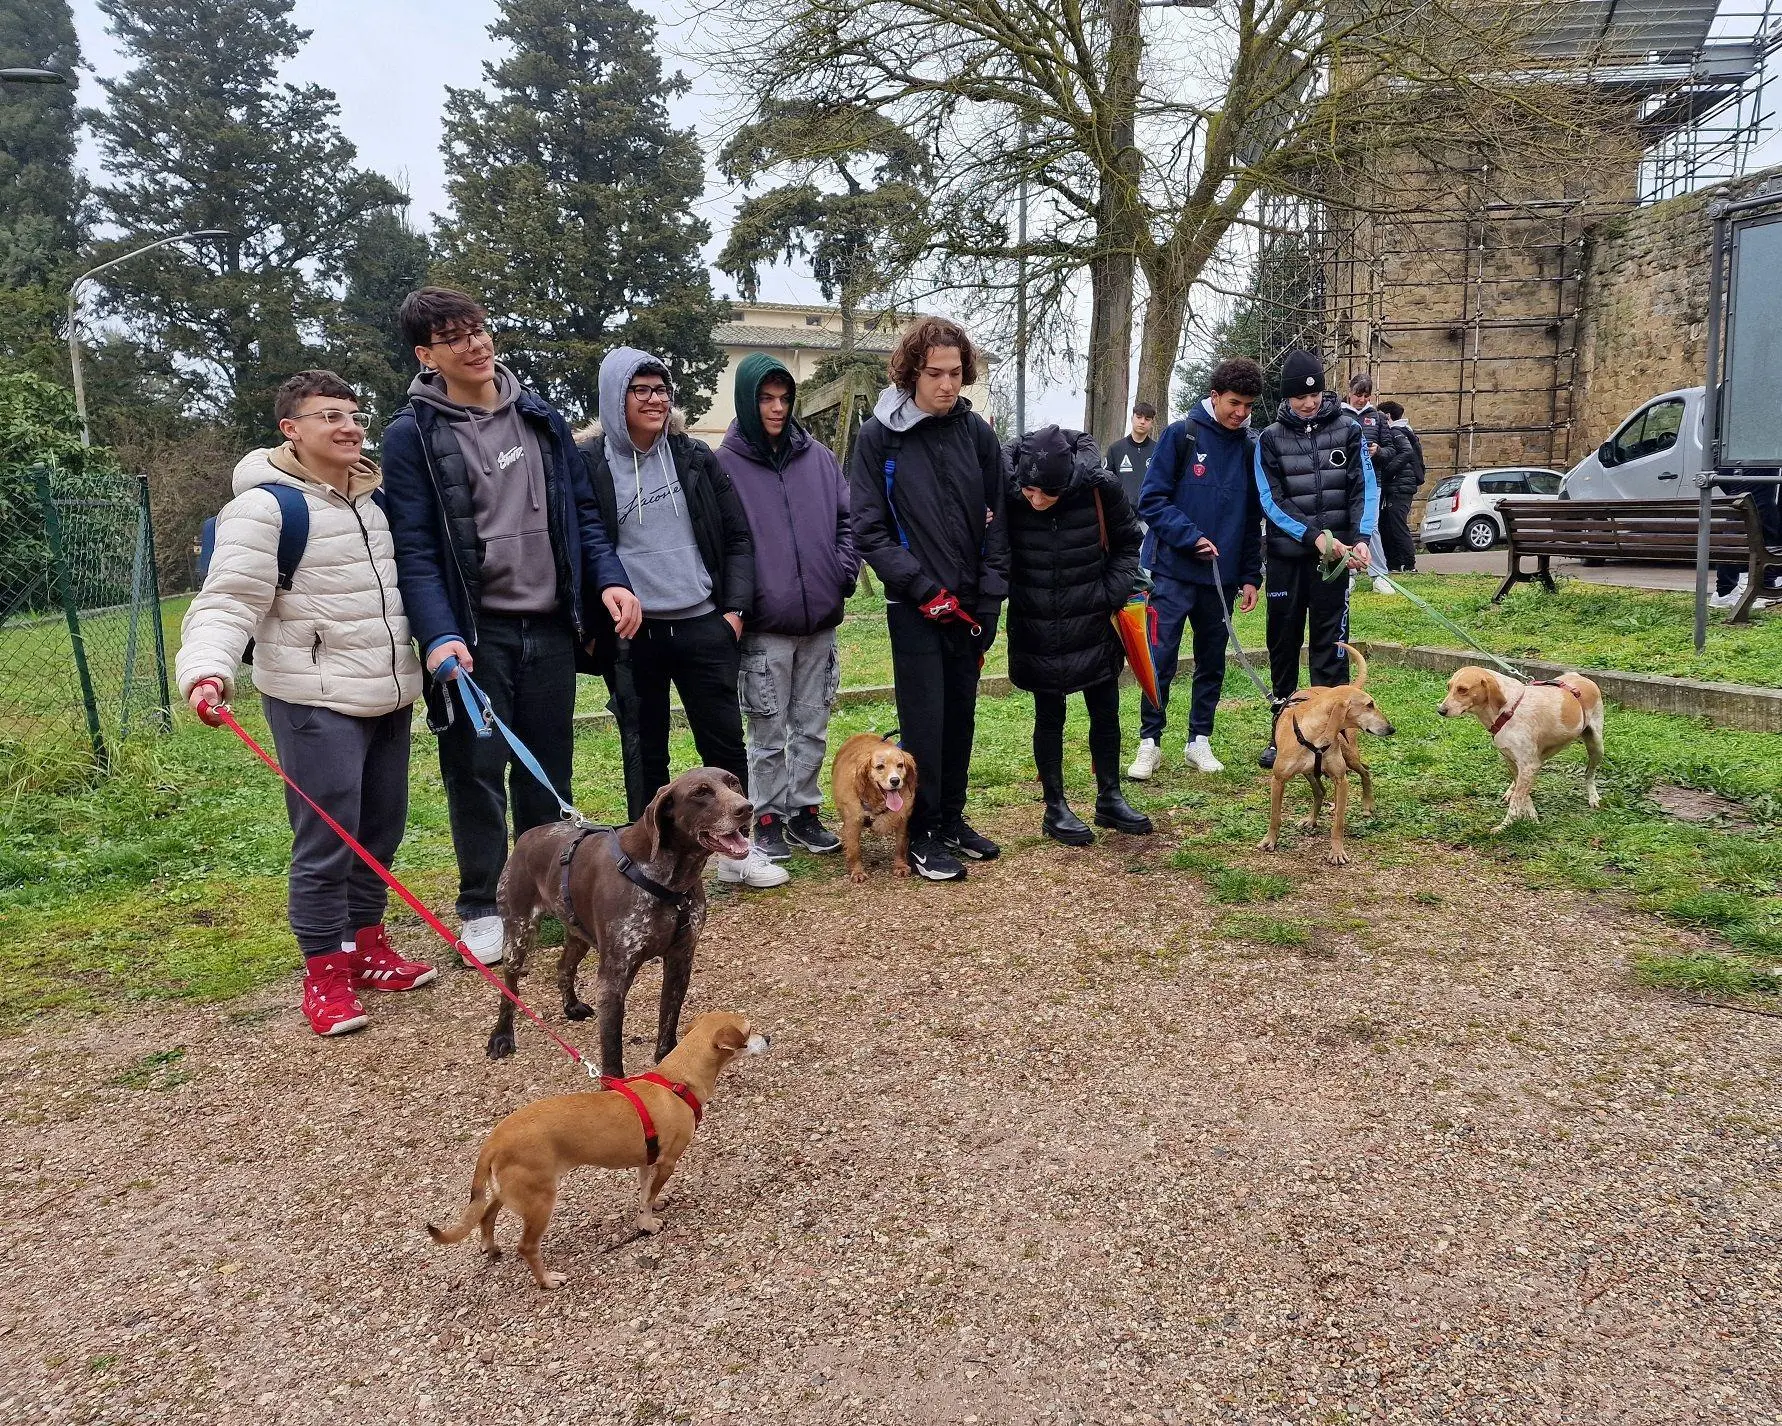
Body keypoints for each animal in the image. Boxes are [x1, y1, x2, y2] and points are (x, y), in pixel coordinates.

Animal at [433, 1005, 773, 1283]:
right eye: (749, 1030)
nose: (769, 1037)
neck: (678, 1080)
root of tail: (494, 1139)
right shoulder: (667, 1162)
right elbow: (649, 1197)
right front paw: (647, 1224)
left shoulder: (646, 1160)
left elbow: (645, 1192)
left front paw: (649, 1208)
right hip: (540, 1201)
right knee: (526, 1246)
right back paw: (548, 1280)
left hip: (513, 1192)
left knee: (486, 1213)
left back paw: (490, 1247)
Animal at [1439, 666, 1610, 830]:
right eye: (1449, 687)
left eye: (1462, 689)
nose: (1440, 710)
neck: (1507, 710)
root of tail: (1580, 677)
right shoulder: (1514, 760)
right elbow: (1524, 796)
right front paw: (1531, 816)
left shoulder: (1529, 765)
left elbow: (1517, 801)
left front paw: (1505, 825)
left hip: (1596, 746)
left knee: (1589, 773)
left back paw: (1593, 796)